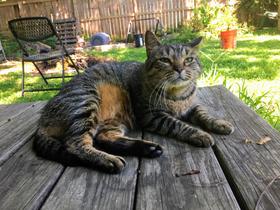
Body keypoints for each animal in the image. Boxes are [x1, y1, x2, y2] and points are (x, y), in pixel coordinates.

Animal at [33, 30, 234, 172]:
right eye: (165, 60)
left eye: (189, 59)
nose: (179, 69)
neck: (177, 95)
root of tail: (41, 120)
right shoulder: (152, 116)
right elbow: (179, 125)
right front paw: (199, 134)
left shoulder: (192, 106)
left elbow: (203, 113)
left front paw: (220, 124)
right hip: (86, 100)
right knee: (76, 144)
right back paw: (109, 160)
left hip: (113, 120)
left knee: (104, 137)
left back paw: (148, 148)